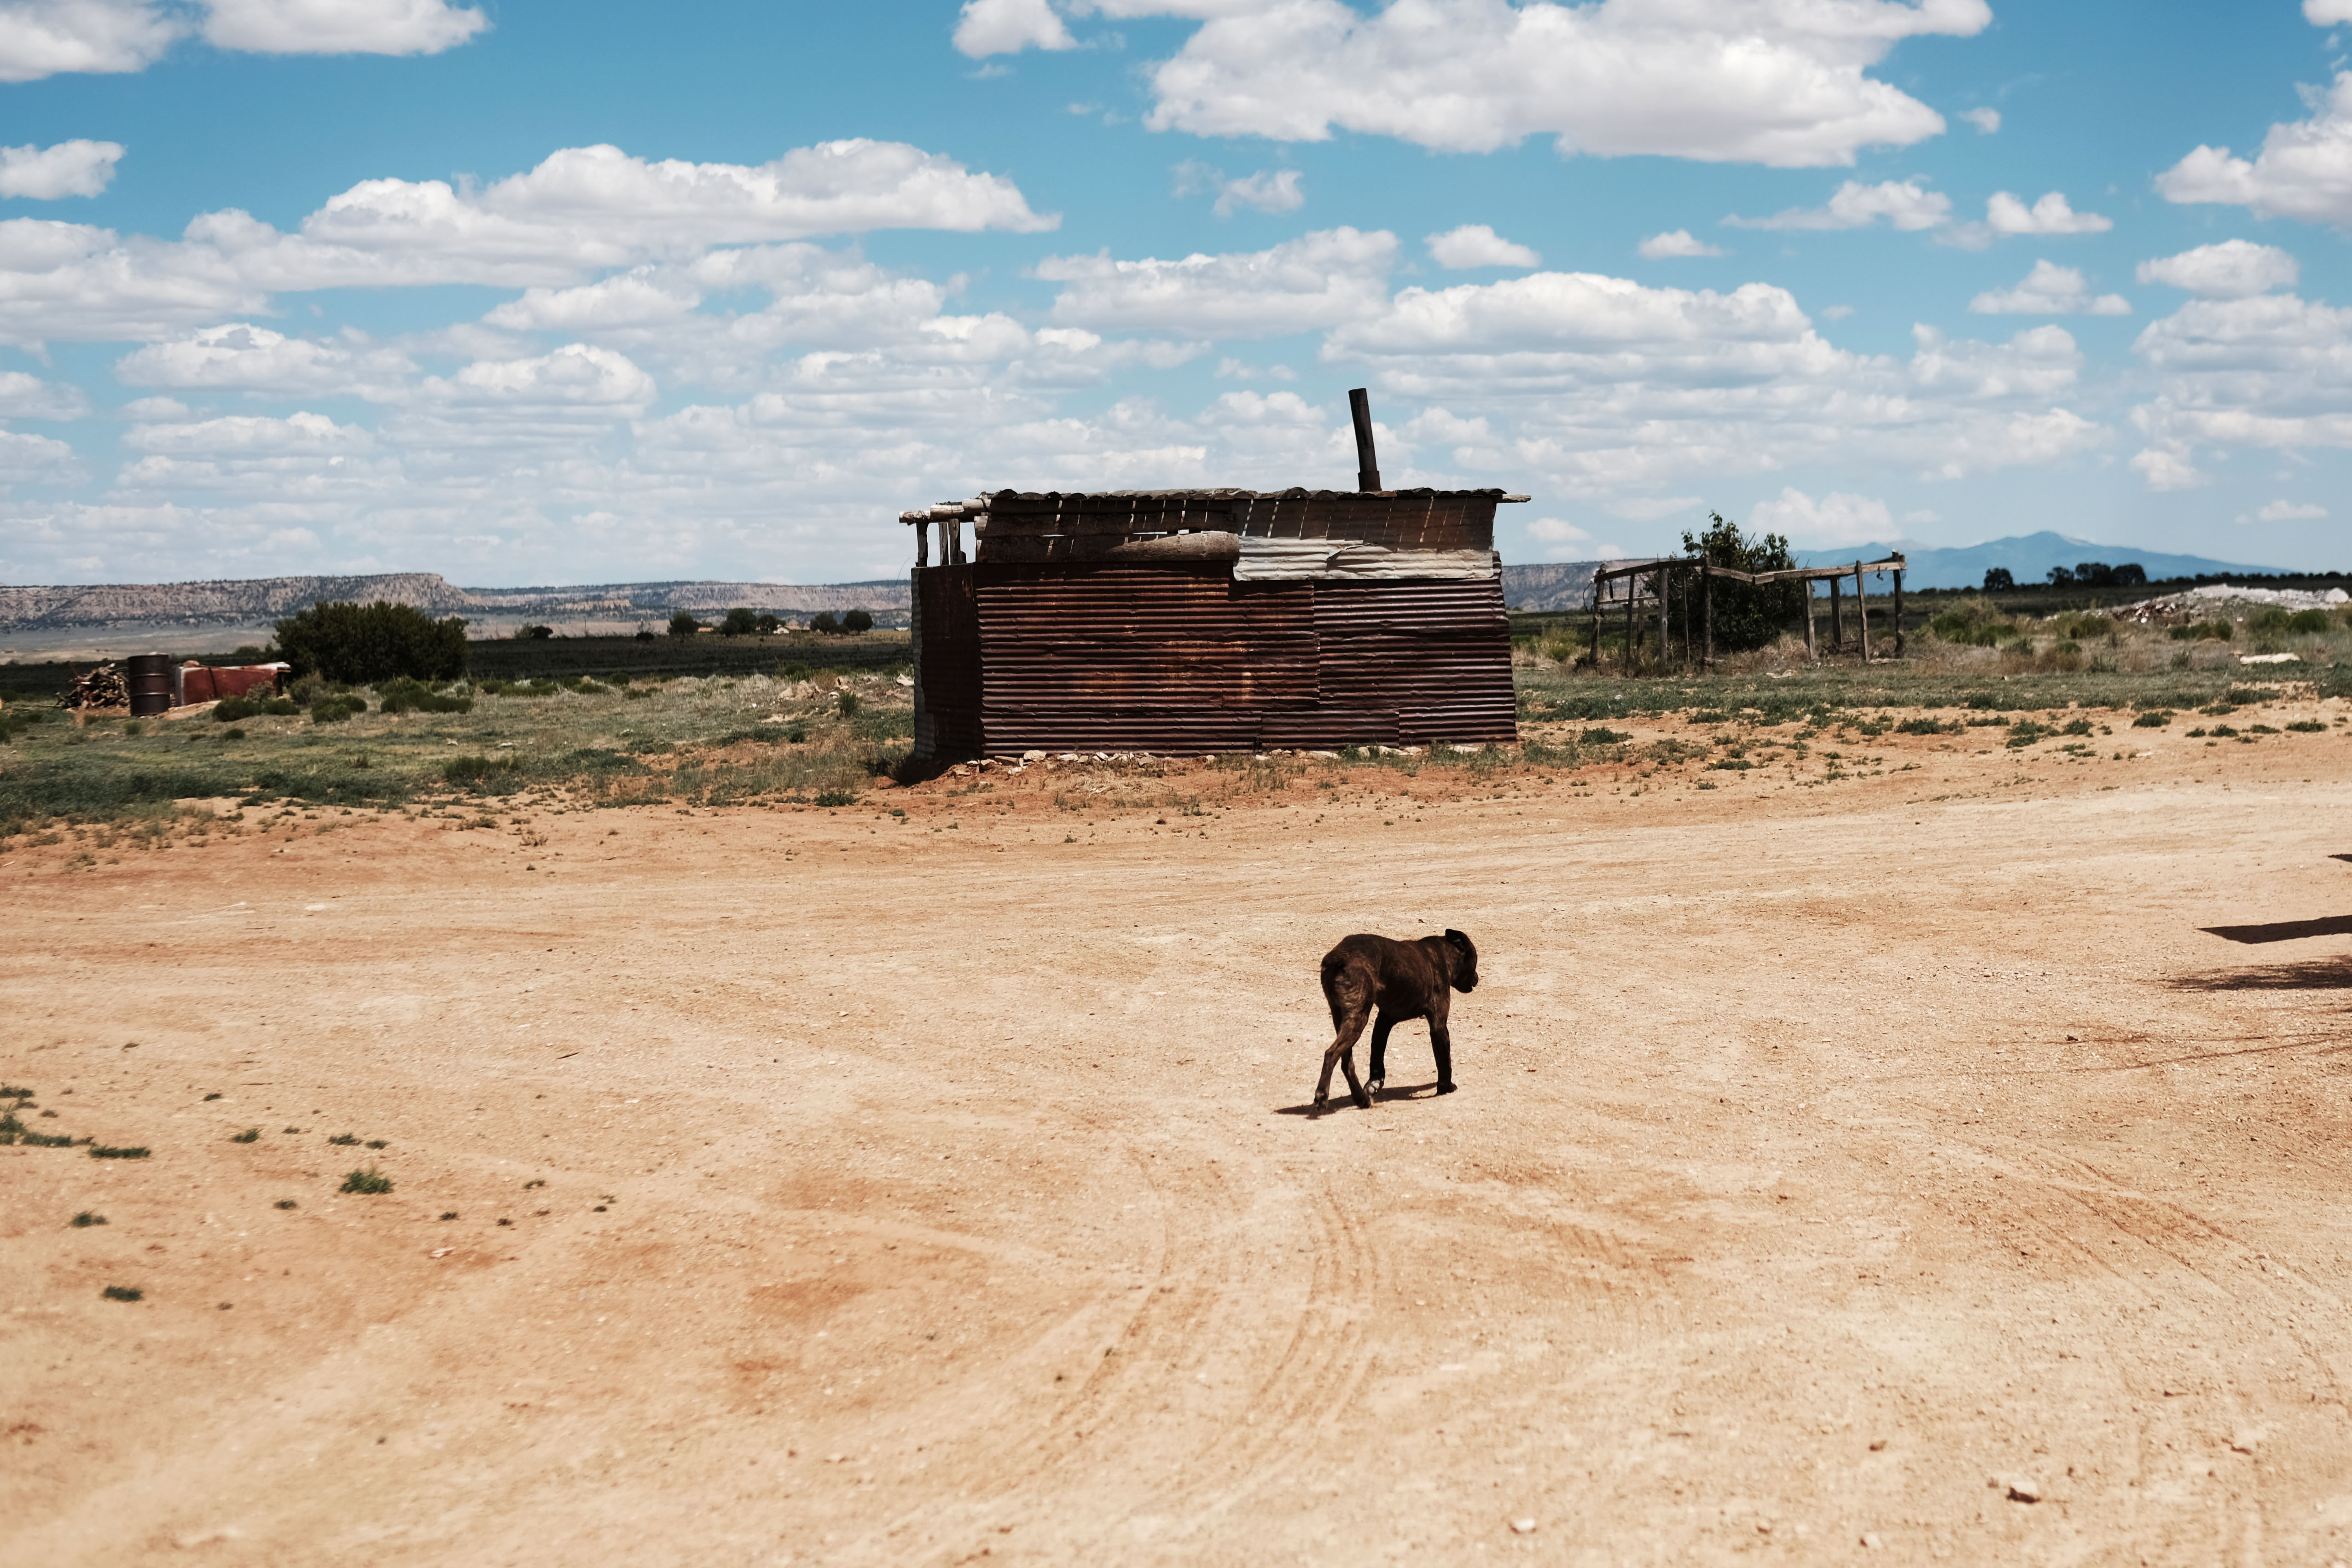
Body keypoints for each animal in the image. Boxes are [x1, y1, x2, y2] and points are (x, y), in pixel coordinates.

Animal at [1317, 931, 1477, 1114]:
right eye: (1476, 960)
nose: (1477, 979)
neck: (1443, 953)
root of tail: (1339, 957)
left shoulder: (1384, 1021)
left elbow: (1377, 1056)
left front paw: (1375, 1083)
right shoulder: (1439, 1026)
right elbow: (1445, 1061)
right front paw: (1446, 1087)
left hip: (1341, 1018)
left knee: (1346, 1062)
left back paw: (1361, 1099)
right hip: (1358, 1018)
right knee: (1331, 1054)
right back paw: (1322, 1097)